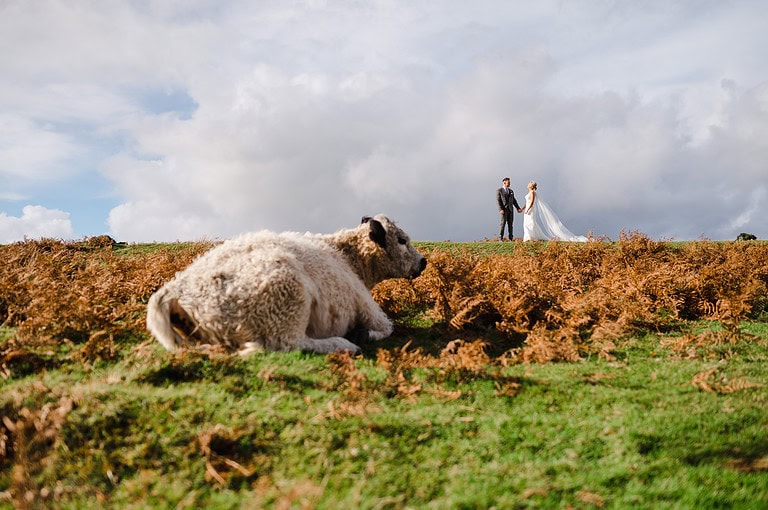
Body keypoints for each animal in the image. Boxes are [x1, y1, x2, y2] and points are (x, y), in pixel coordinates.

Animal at [146, 215, 426, 355]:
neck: (347, 257)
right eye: (401, 240)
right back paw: (343, 345)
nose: (423, 262)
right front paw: (362, 334)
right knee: (287, 345)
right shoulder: (368, 309)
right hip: (285, 304)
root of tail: (174, 290)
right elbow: (386, 327)